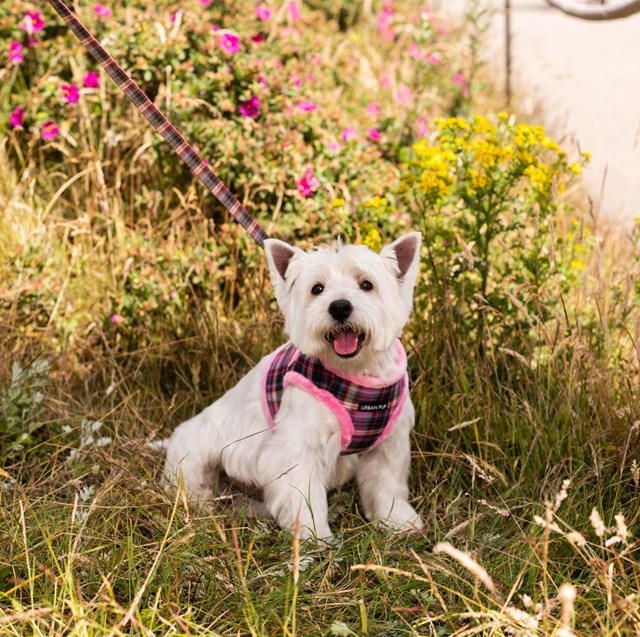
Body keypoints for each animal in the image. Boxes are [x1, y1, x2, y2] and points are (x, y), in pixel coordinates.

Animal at [162, 231, 424, 540]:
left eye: (366, 285)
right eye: (317, 288)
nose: (339, 307)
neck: (355, 373)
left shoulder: (388, 444)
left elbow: (387, 484)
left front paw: (397, 521)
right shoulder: (298, 446)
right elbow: (305, 494)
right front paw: (314, 535)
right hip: (195, 451)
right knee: (191, 484)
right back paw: (201, 507)